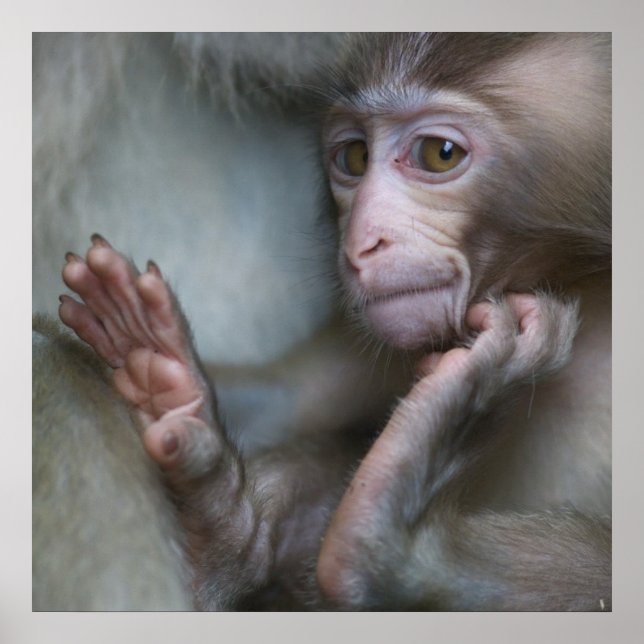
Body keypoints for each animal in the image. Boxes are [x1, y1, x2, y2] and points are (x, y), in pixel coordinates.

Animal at [52, 32, 611, 611]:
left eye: (440, 154)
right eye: (354, 156)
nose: (361, 244)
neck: (584, 287)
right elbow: (291, 399)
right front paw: (164, 379)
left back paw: (381, 545)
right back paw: (225, 527)